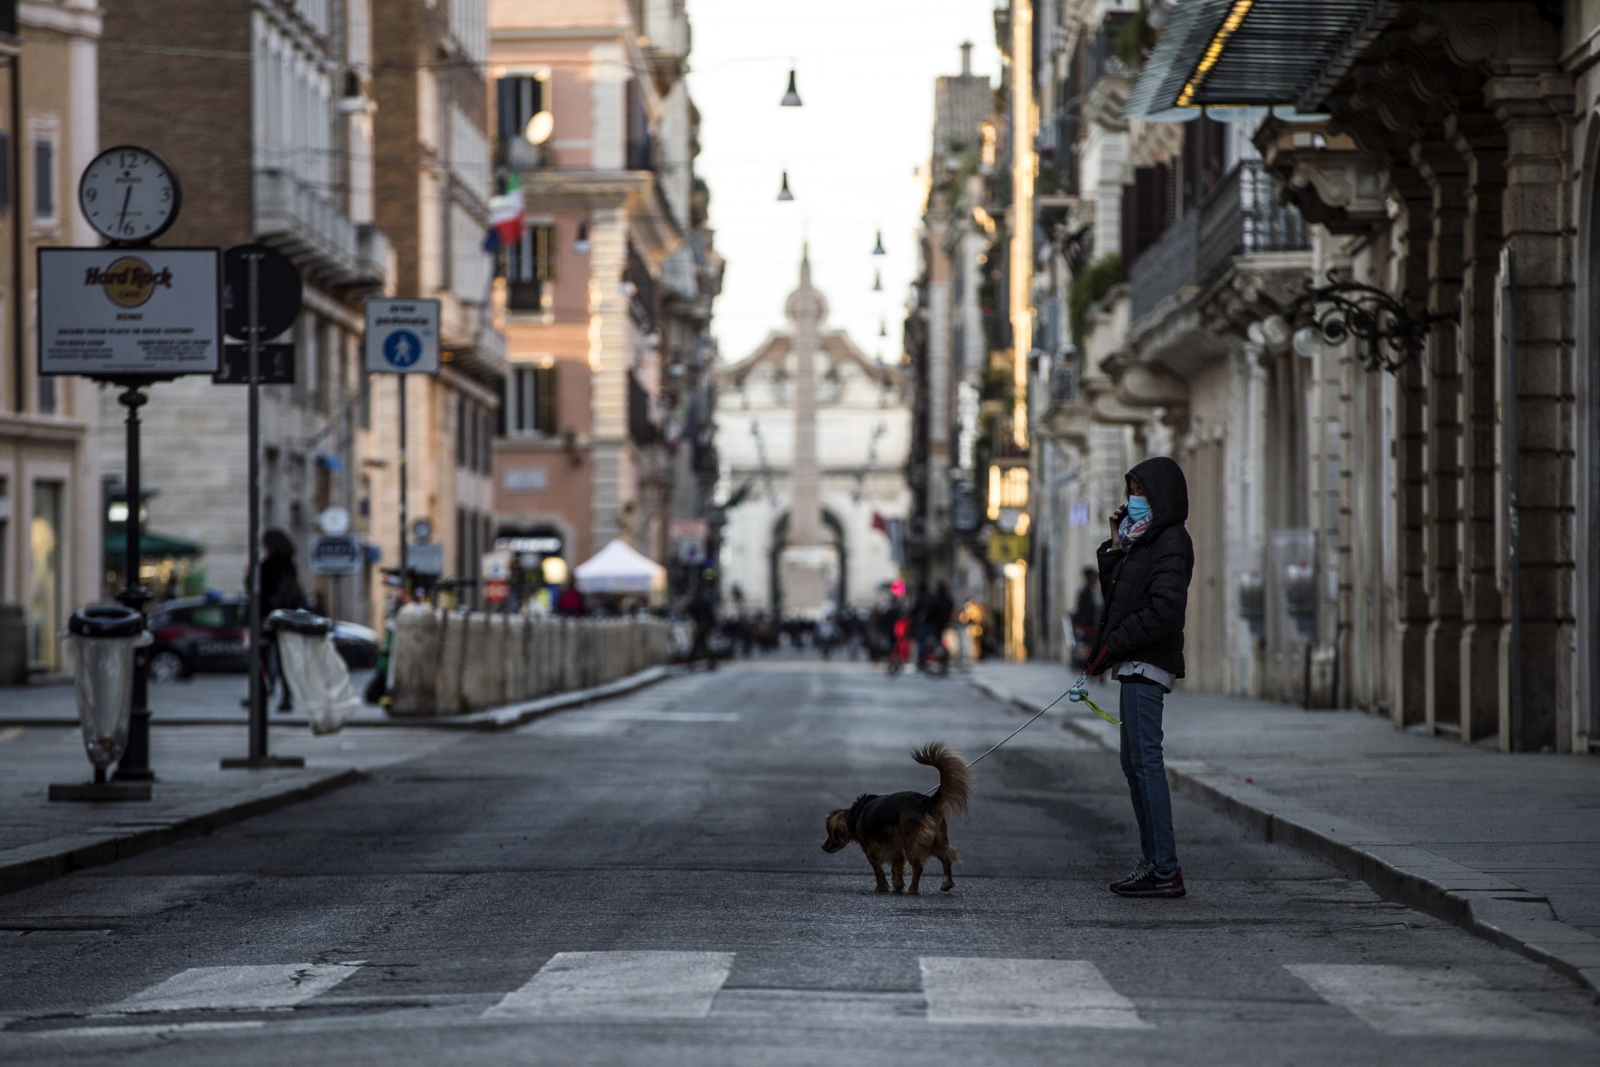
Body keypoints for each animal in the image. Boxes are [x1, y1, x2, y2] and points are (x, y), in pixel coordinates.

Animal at [819, 742, 966, 895]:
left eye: (830, 832)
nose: (823, 847)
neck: (855, 814)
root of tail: (926, 802)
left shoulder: (870, 850)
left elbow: (878, 869)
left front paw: (882, 887)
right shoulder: (896, 845)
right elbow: (897, 867)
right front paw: (897, 884)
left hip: (913, 844)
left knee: (919, 867)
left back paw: (912, 890)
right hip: (937, 841)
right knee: (947, 858)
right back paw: (946, 883)